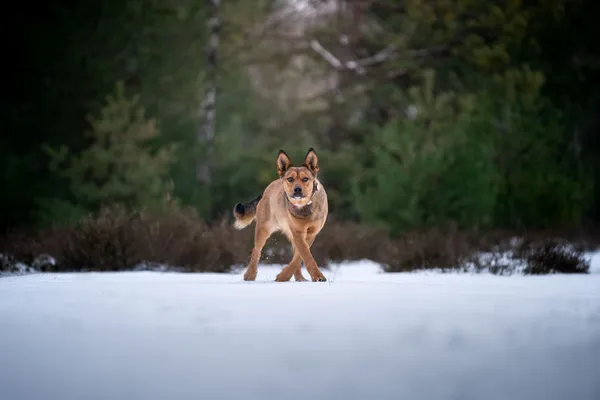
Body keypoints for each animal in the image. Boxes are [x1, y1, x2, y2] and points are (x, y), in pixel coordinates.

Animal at [233, 147, 328, 282]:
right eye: (290, 179)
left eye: (305, 179)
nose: (297, 189)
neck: (304, 206)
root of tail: (266, 189)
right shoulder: (298, 233)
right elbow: (306, 255)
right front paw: (318, 276)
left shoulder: (310, 234)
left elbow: (299, 256)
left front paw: (284, 275)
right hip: (264, 228)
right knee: (256, 251)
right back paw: (250, 274)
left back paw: (299, 278)